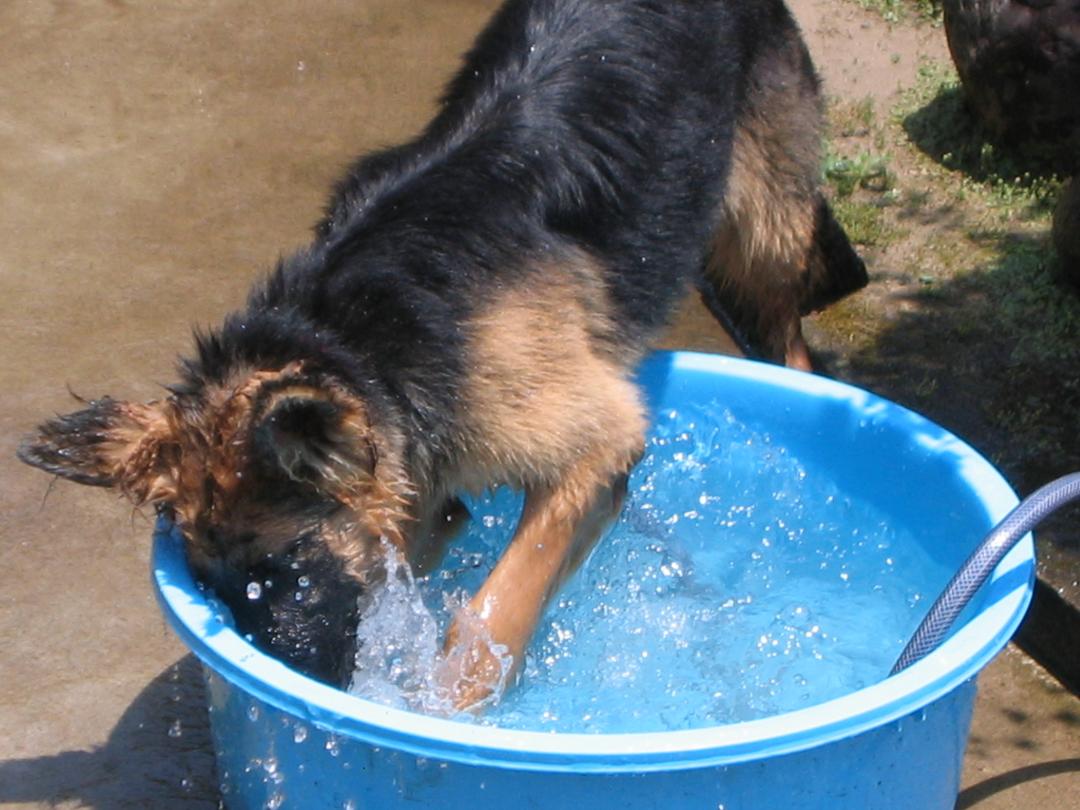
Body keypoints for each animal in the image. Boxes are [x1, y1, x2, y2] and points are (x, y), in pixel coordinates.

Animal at [19, 0, 868, 708]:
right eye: (217, 588)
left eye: (284, 571)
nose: (286, 689)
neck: (356, 339)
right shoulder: (426, 495)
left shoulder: (595, 442)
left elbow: (496, 610)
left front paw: (449, 709)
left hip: (762, 221)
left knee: (788, 334)